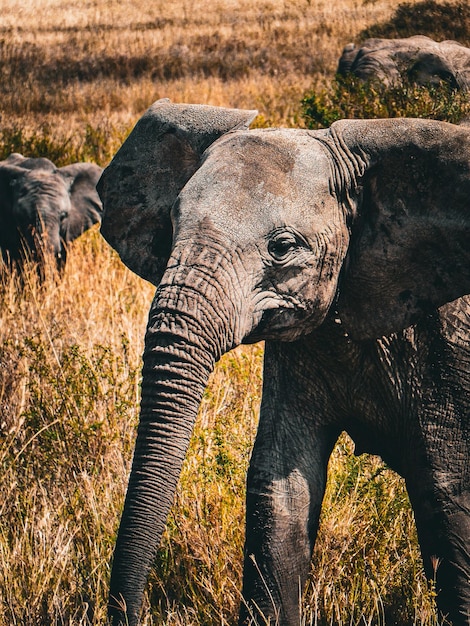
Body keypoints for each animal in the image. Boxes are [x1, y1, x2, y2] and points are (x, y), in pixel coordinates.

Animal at [96, 100, 470, 620]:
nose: (137, 612)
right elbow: (280, 488)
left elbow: (448, 497)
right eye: (170, 228)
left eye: (283, 247)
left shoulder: (446, 349)